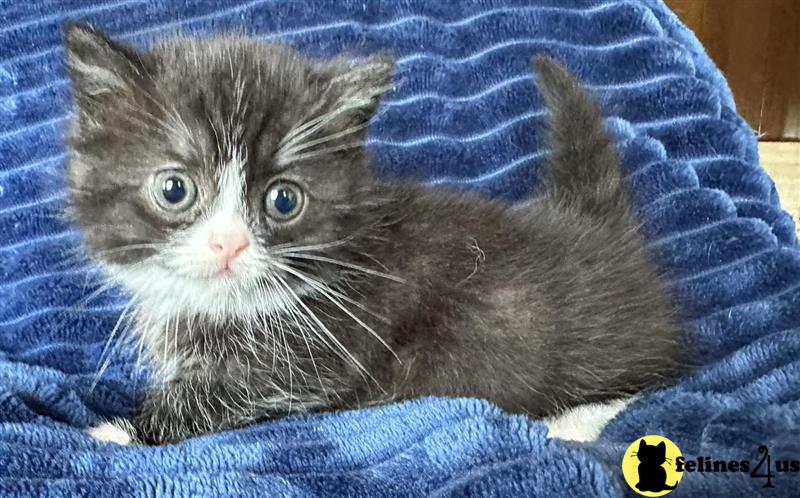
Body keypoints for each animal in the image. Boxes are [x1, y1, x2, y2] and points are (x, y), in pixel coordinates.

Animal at [62, 23, 688, 446]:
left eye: (283, 199)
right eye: (175, 189)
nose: (228, 244)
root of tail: (591, 224)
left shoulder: (318, 352)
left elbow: (230, 393)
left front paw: (119, 432)